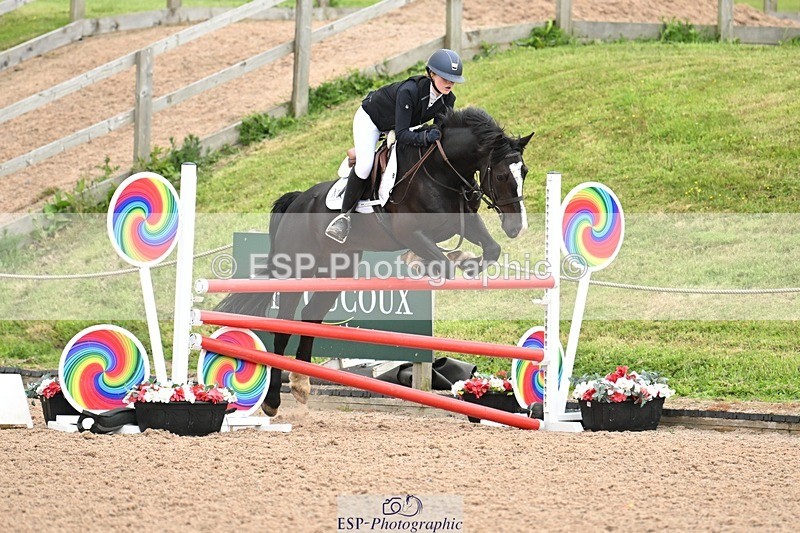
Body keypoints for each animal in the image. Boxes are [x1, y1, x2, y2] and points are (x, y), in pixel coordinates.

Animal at [216, 107, 533, 416]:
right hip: (295, 270)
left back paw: (300, 385)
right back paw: (272, 401)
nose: (516, 228)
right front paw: (424, 261)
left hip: (337, 271)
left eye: (525, 172)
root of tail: (295, 201)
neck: (440, 170)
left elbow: (491, 250)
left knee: (311, 317)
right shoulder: (410, 233)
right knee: (283, 326)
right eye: (502, 176)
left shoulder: (461, 222)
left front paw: (465, 260)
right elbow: (441, 262)